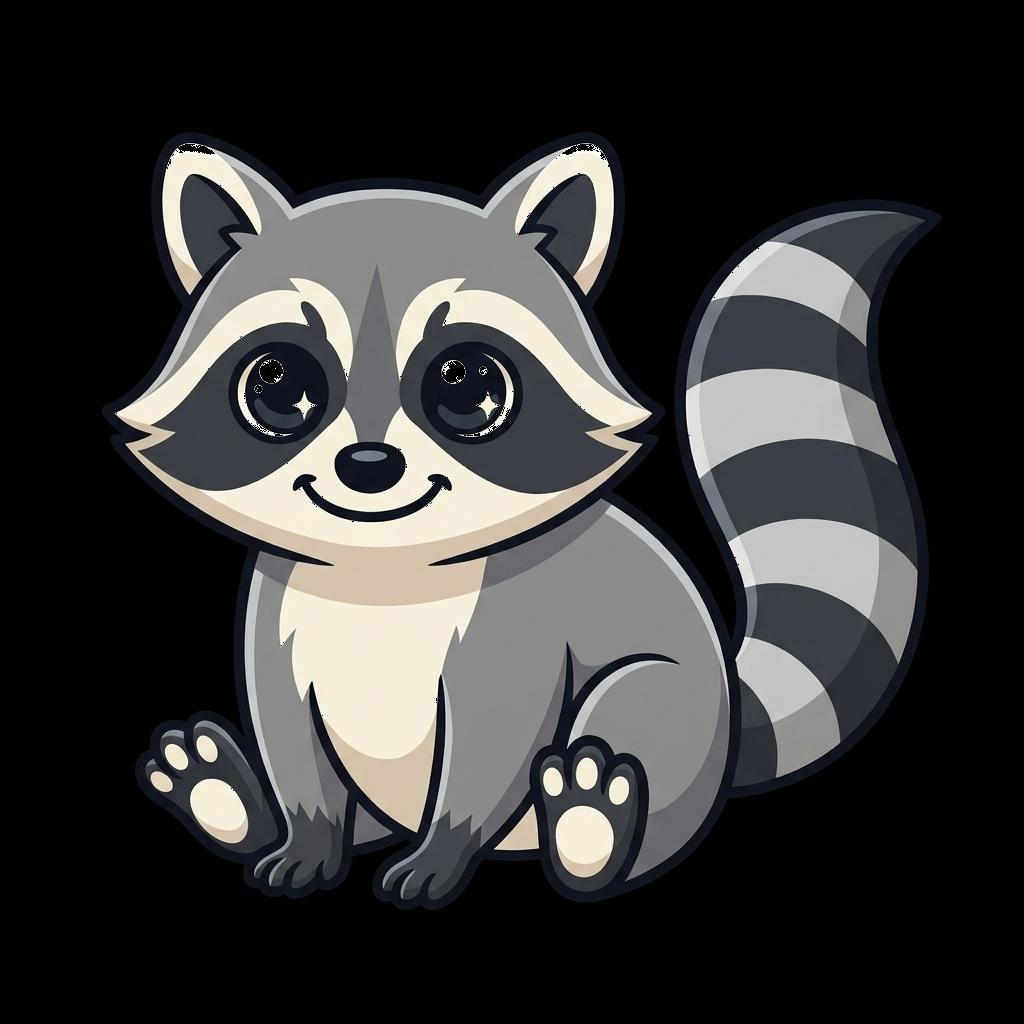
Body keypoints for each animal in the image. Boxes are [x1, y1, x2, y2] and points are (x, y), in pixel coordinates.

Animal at [110, 136, 933, 905]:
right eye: (278, 384)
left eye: (467, 384)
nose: (369, 466)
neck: (383, 573)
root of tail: (730, 718)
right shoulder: (280, 617)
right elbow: (290, 737)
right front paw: (306, 838)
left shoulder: (515, 627)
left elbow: (490, 745)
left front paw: (445, 851)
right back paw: (230, 802)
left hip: (673, 715)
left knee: (631, 708)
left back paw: (589, 835)